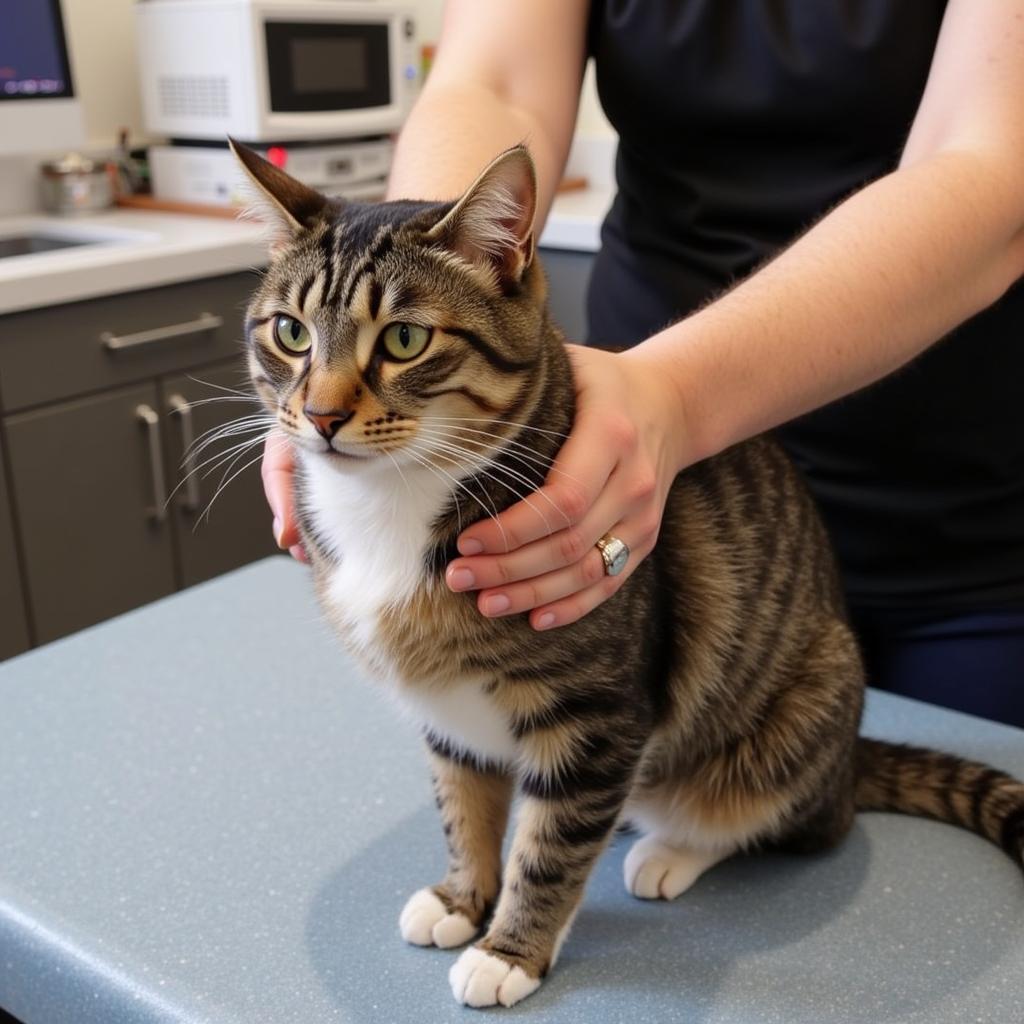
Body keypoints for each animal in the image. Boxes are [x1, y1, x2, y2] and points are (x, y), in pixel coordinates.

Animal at [230, 138, 1024, 1007]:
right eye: (290, 332)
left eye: (405, 339)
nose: (323, 416)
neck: (394, 505)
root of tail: (850, 757)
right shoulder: (450, 717)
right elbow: (464, 805)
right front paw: (463, 898)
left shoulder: (595, 716)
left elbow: (550, 845)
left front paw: (511, 951)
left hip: (805, 703)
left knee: (783, 818)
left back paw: (671, 850)